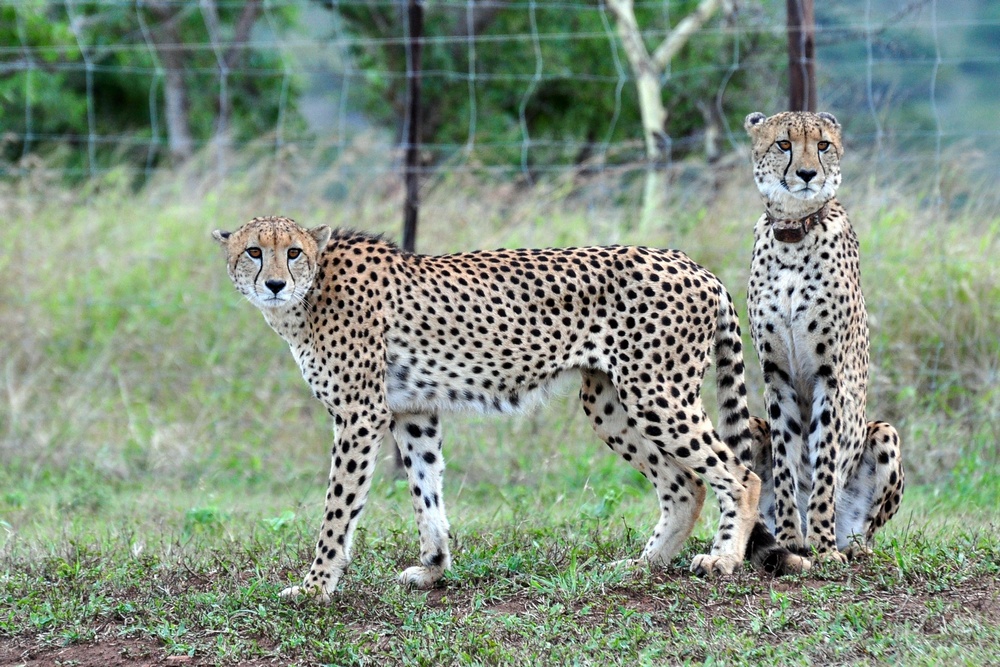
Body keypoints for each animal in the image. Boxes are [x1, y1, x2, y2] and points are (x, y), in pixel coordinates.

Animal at [211, 217, 804, 604]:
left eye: (292, 252)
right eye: (253, 251)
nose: (274, 283)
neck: (307, 297)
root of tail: (691, 263)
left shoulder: (360, 415)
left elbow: (338, 510)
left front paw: (315, 587)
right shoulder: (413, 411)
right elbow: (427, 492)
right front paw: (433, 569)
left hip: (657, 391)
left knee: (740, 472)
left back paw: (723, 559)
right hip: (610, 401)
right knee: (685, 483)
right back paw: (643, 566)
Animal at [744, 112, 908, 560]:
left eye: (822, 145)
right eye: (783, 144)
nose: (806, 174)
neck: (793, 234)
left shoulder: (829, 376)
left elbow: (824, 462)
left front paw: (818, 542)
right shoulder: (776, 375)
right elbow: (786, 463)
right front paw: (790, 537)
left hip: (884, 431)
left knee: (863, 527)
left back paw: (848, 545)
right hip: (753, 425)